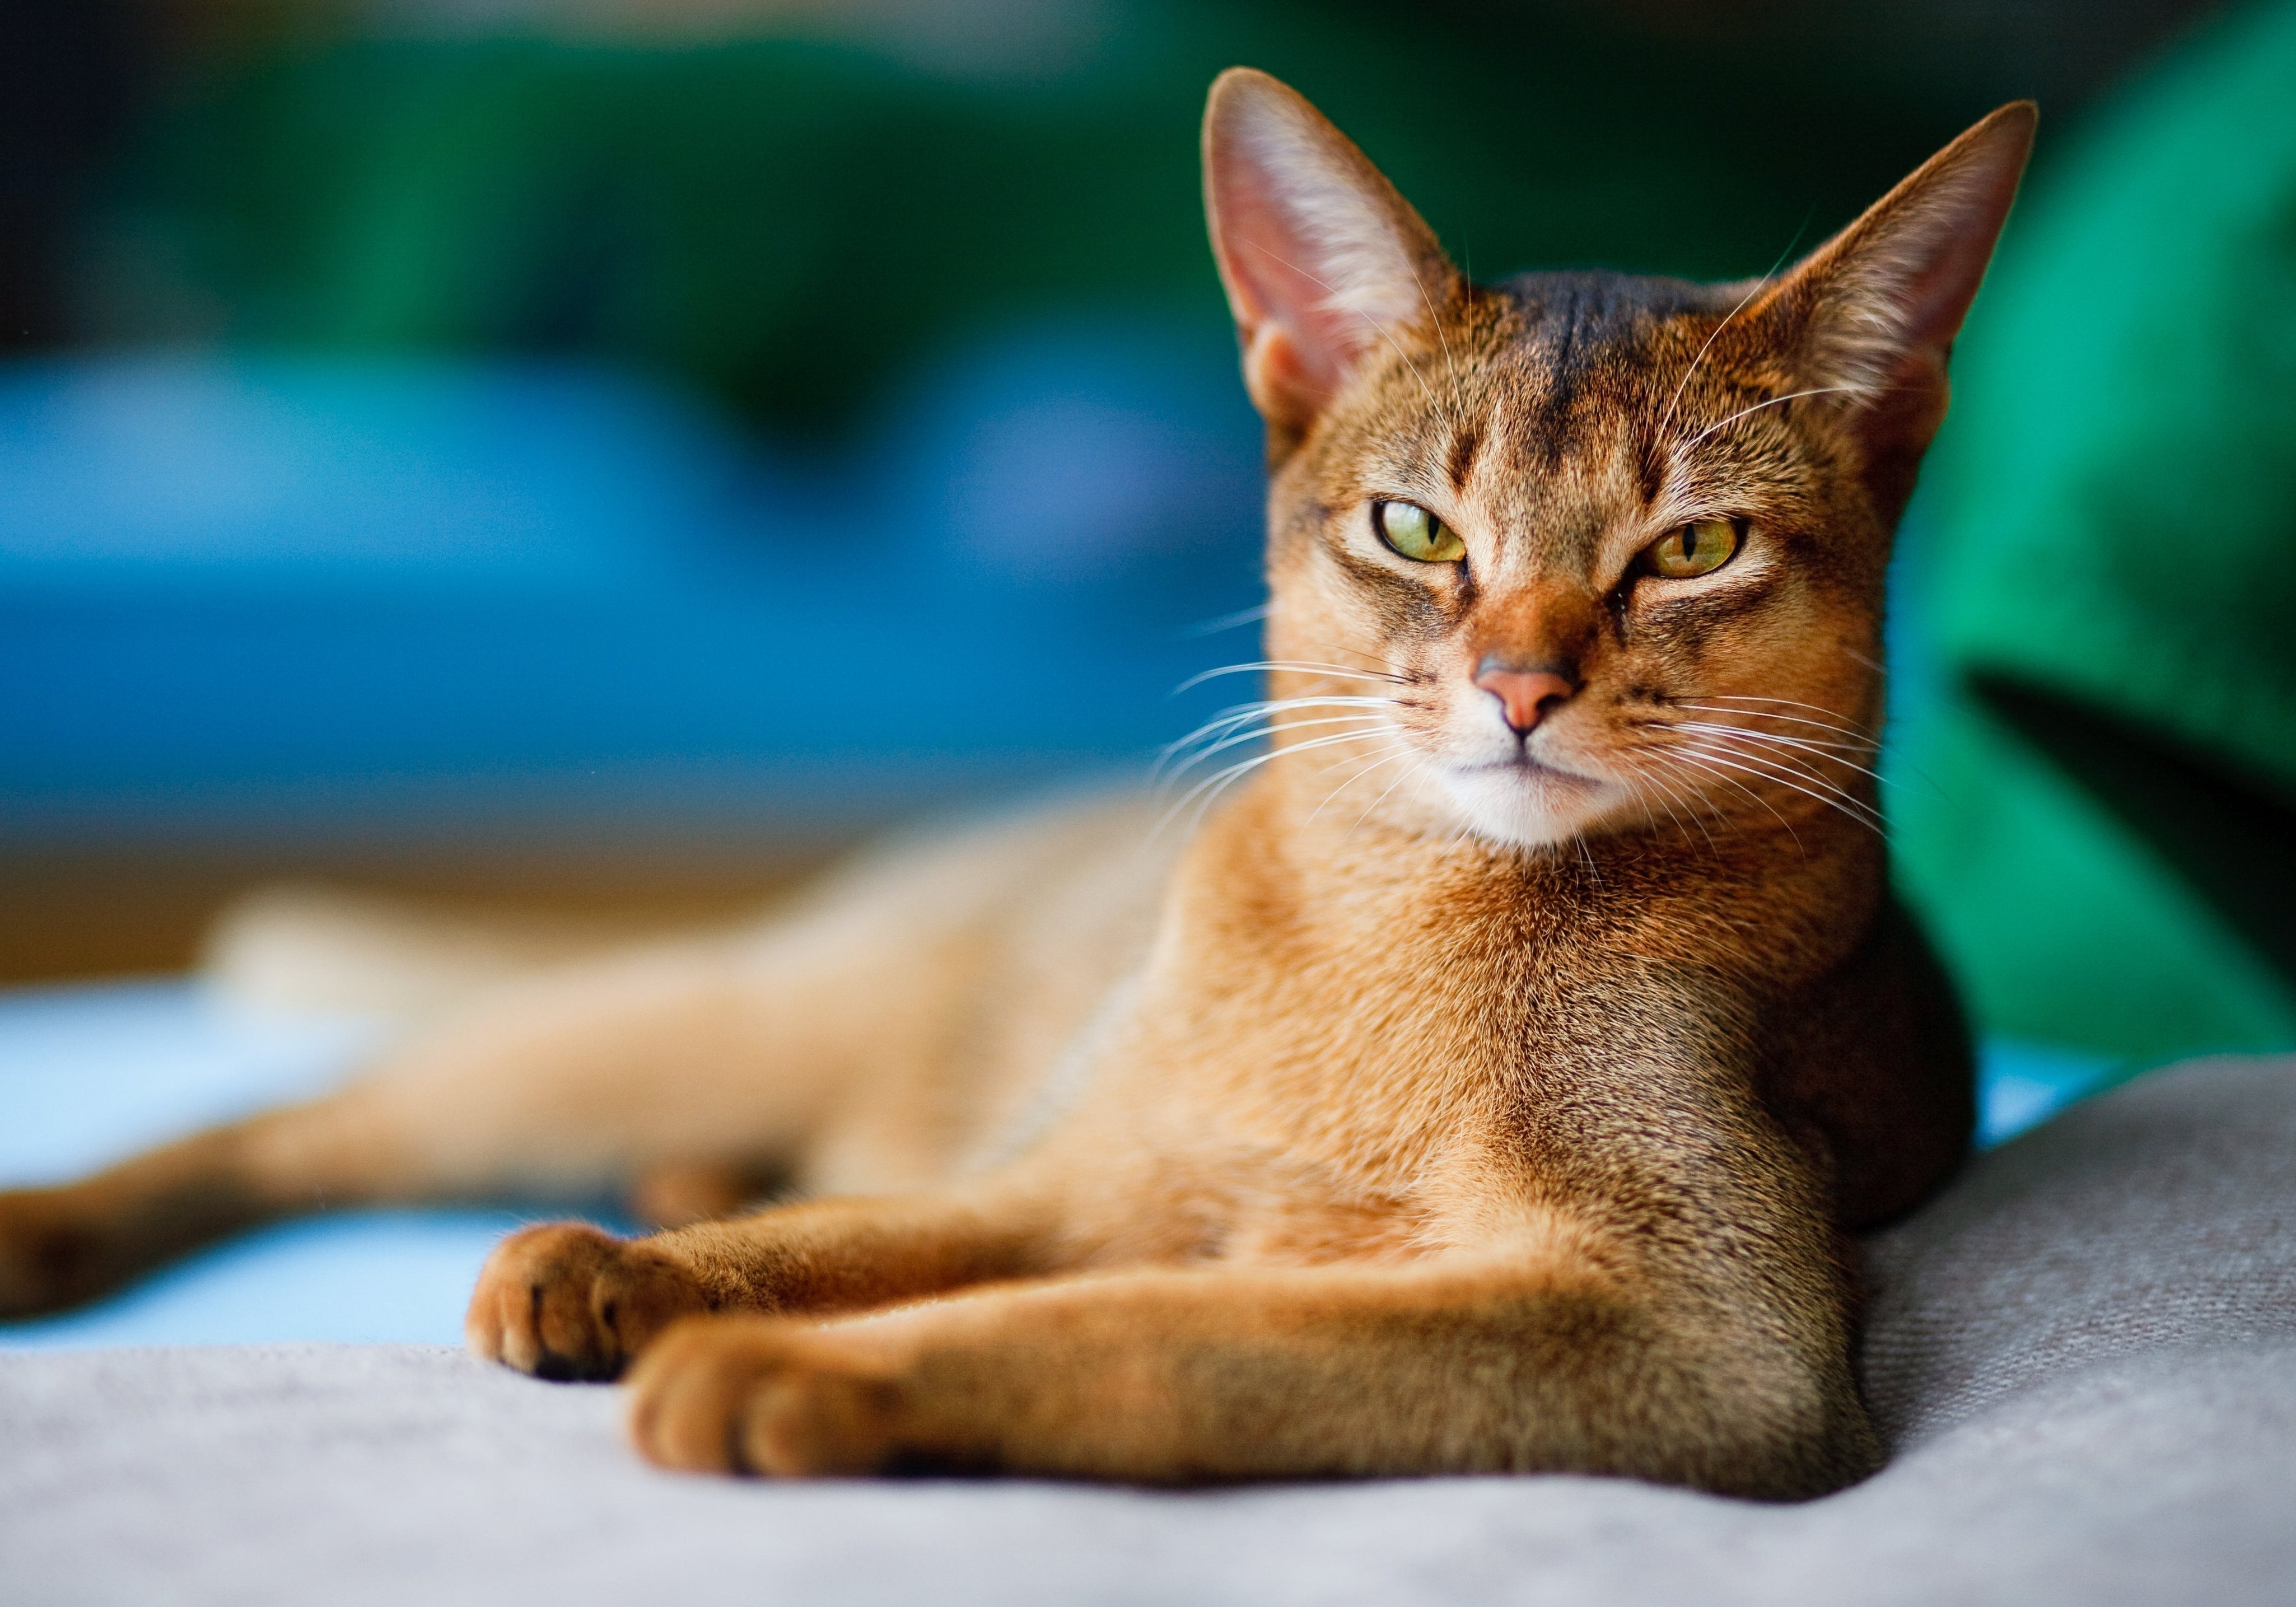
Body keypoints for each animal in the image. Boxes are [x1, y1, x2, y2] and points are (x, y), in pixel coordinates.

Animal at [9, 69, 2038, 1497]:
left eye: (1691, 548)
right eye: (1415, 529)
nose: (1521, 686)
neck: (1400, 927)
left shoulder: (1707, 1333)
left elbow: (1143, 1330)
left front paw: (796, 1371)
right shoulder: (1069, 1171)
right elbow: (859, 1238)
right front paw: (650, 1273)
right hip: (711, 1012)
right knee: (328, 1113)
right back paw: (74, 1225)